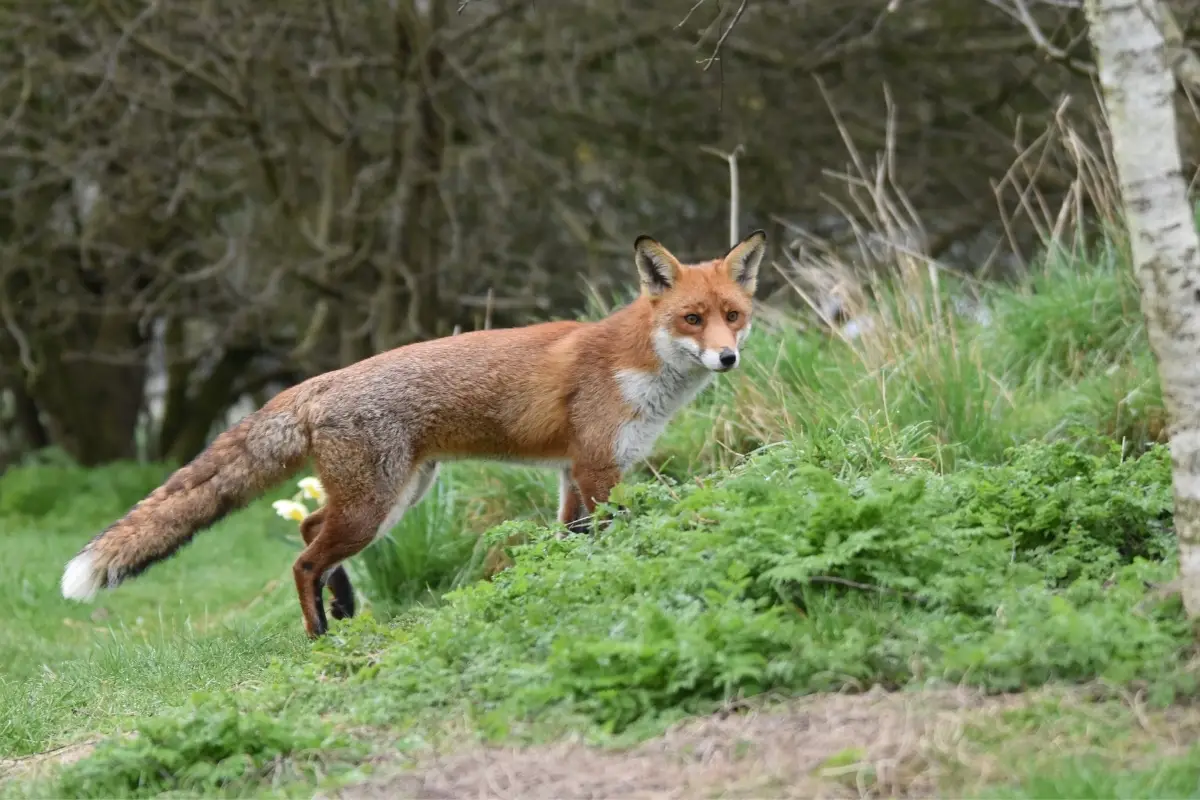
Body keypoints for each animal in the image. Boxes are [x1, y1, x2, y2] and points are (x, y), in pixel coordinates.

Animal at [58, 230, 768, 638]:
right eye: (692, 318)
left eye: (733, 316)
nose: (728, 358)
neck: (637, 366)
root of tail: (318, 382)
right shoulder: (597, 468)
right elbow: (608, 540)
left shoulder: (575, 473)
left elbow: (571, 544)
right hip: (375, 505)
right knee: (302, 559)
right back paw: (321, 636)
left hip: (395, 497)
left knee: (308, 529)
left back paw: (344, 606)